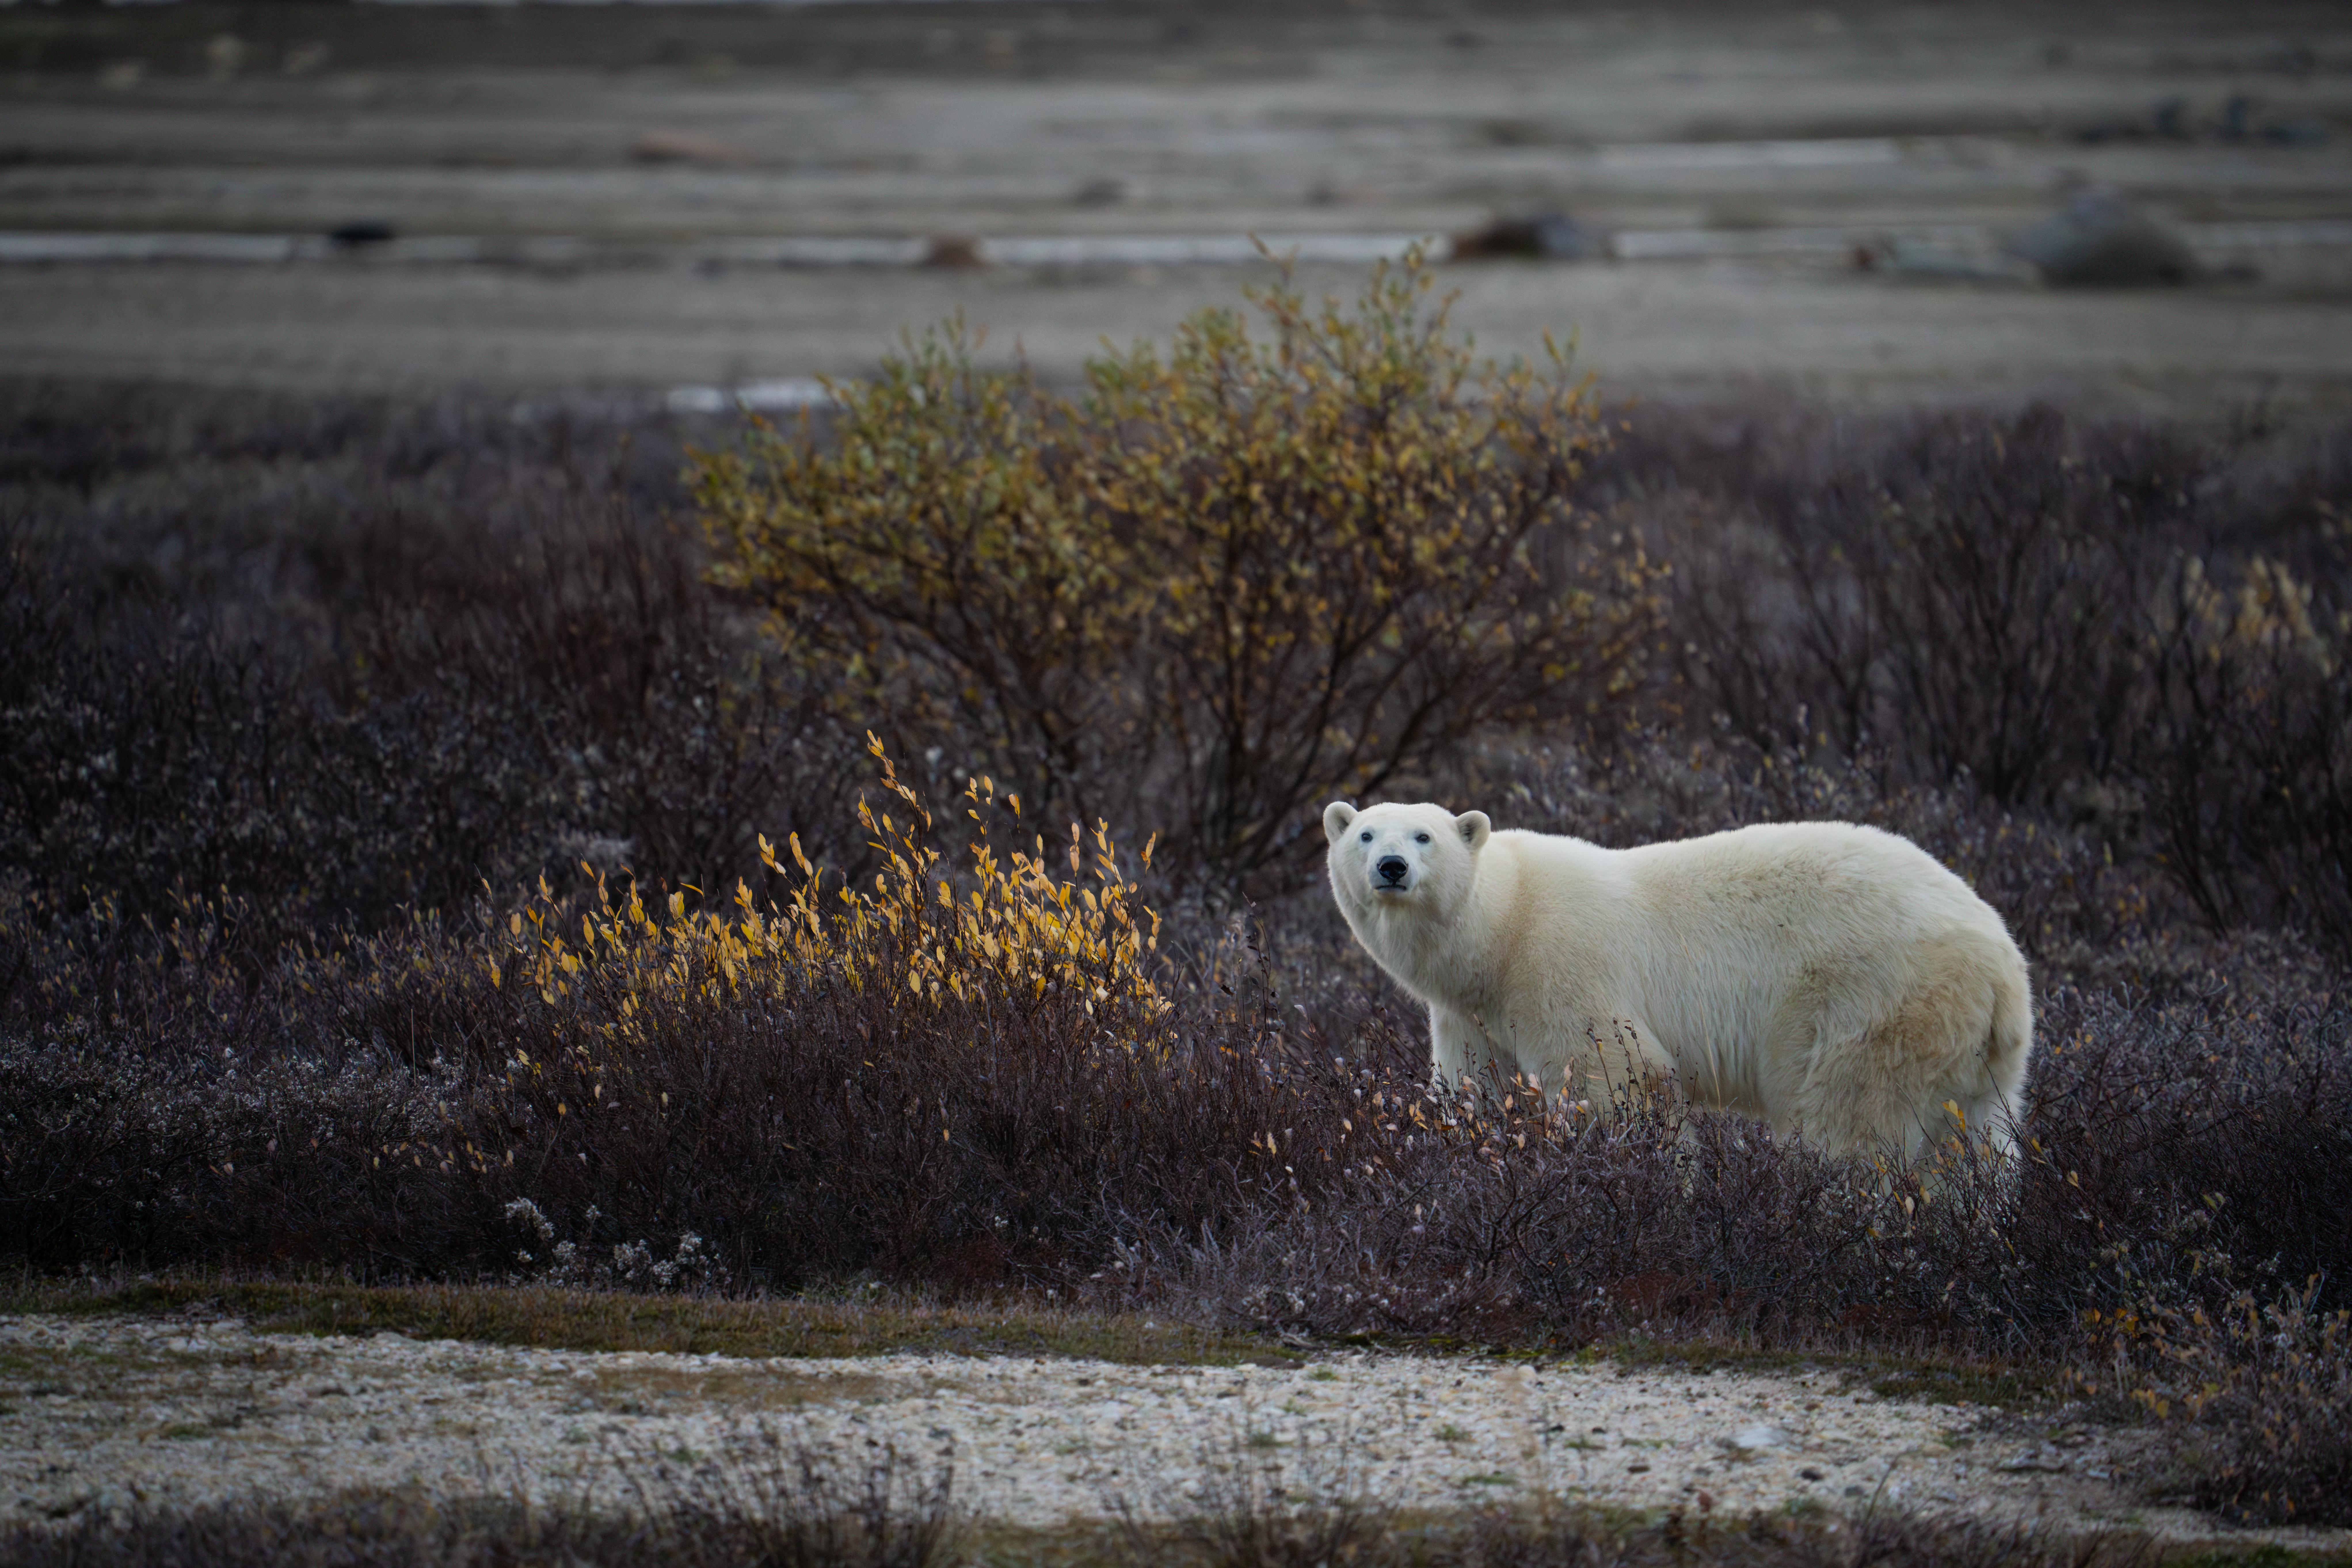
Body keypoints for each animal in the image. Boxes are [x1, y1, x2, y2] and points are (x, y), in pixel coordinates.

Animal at [1323, 801, 2033, 1163]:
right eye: (1364, 834)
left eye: (1424, 835)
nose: (1391, 866)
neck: (1500, 926)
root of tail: (2003, 962)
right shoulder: (1470, 1011)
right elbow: (1473, 1088)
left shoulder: (1559, 966)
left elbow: (1620, 1078)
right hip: (1974, 1054)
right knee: (1976, 1145)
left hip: (1873, 1003)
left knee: (1850, 1127)